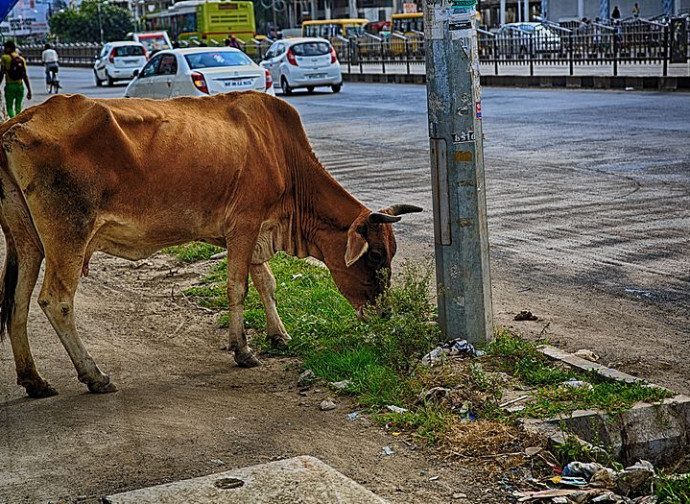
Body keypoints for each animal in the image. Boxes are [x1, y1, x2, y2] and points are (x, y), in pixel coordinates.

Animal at [0, 90, 420, 398]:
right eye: (376, 255)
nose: (385, 315)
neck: (284, 159)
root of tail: (19, 120)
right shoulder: (244, 226)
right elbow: (238, 286)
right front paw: (243, 350)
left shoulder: (255, 233)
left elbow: (267, 283)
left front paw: (278, 334)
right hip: (69, 235)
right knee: (56, 301)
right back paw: (94, 375)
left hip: (26, 241)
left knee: (17, 304)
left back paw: (34, 380)